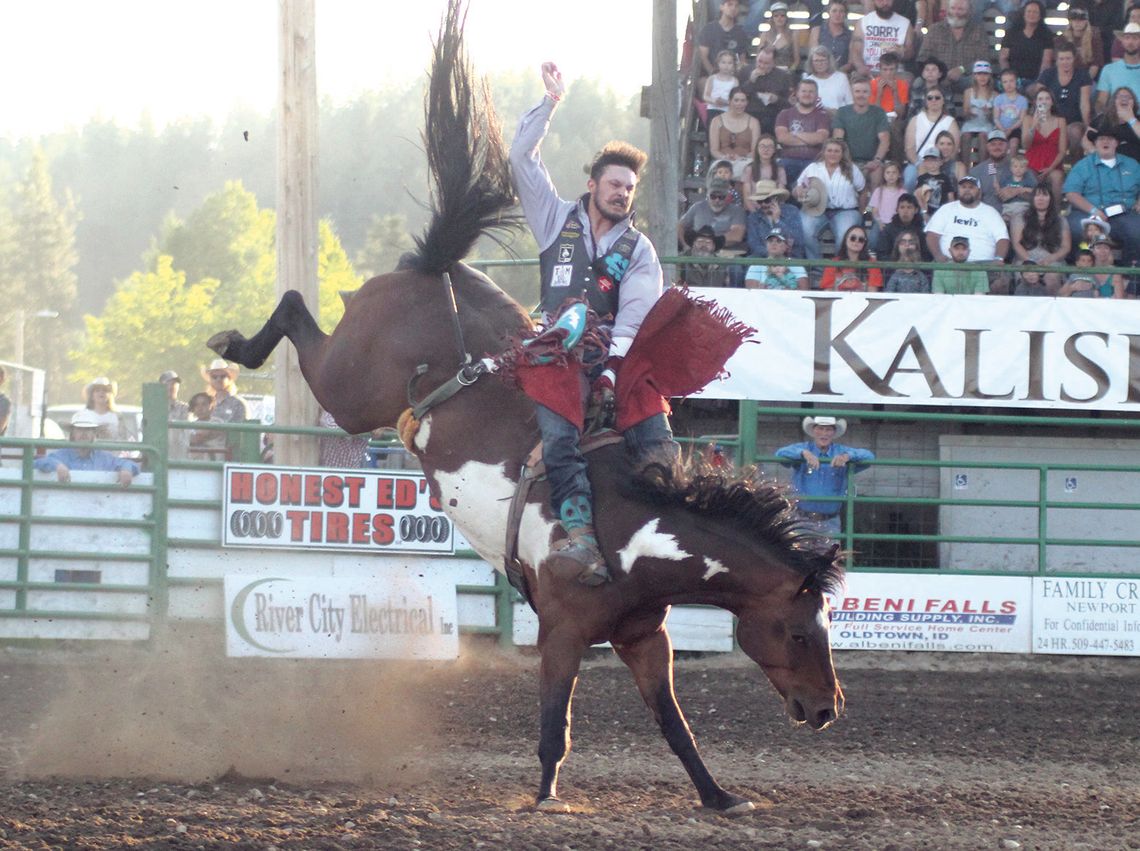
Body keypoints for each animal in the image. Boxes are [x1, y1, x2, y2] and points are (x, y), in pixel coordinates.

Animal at [209, 0, 843, 812]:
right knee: (294, 308)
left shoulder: (645, 636)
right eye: (798, 630)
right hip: (347, 388)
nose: (825, 710)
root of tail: (437, 266)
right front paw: (542, 798)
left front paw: (719, 795)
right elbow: (554, 726)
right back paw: (236, 342)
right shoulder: (564, 631)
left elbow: (675, 726)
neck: (635, 531)